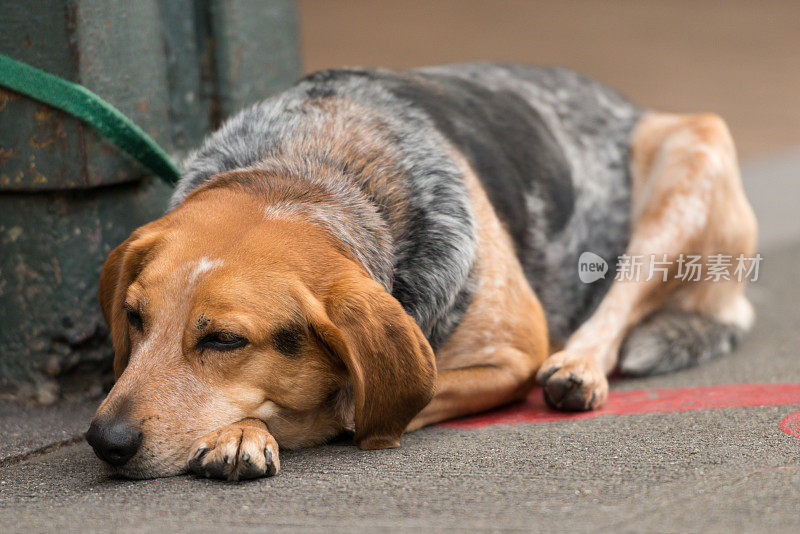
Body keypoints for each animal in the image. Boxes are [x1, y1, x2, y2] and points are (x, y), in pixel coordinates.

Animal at [87, 65, 756, 484]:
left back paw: (580, 366)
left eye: (225, 340)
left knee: (615, 309)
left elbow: (344, 408)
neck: (310, 170)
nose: (104, 441)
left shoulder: (510, 357)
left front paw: (246, 431)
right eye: (134, 317)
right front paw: (242, 432)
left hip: (693, 153)